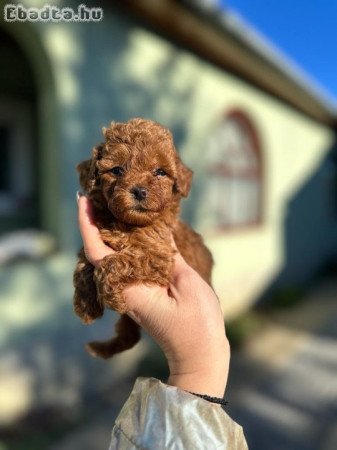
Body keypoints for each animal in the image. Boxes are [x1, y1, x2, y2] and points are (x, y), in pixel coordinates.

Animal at [73, 118, 211, 358]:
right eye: (117, 170)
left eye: (160, 172)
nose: (139, 191)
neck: (128, 225)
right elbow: (84, 262)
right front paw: (85, 303)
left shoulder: (159, 256)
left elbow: (111, 263)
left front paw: (110, 295)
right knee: (129, 336)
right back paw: (100, 348)